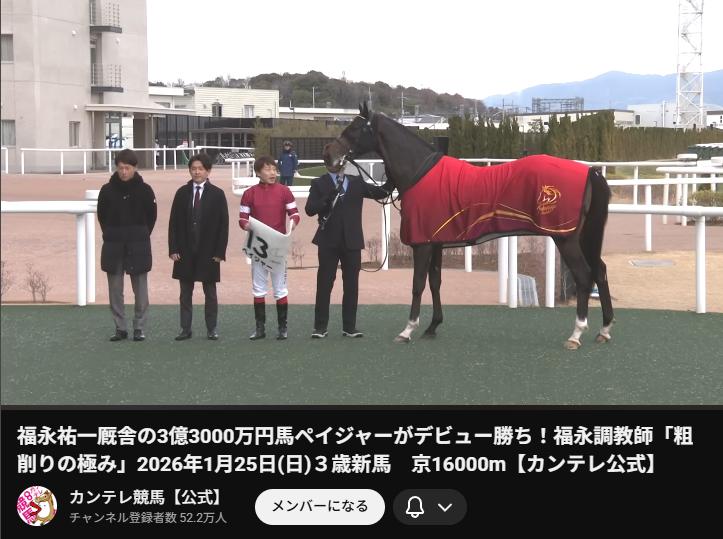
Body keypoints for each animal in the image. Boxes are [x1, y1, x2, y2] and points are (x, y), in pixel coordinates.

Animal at [323, 103, 614, 350]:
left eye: (355, 128)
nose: (328, 156)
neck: (420, 172)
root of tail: (590, 172)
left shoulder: (422, 244)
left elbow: (418, 284)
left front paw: (407, 330)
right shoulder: (436, 242)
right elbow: (435, 282)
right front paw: (432, 326)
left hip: (566, 239)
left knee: (584, 276)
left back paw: (576, 335)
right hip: (585, 237)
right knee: (600, 271)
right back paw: (604, 330)